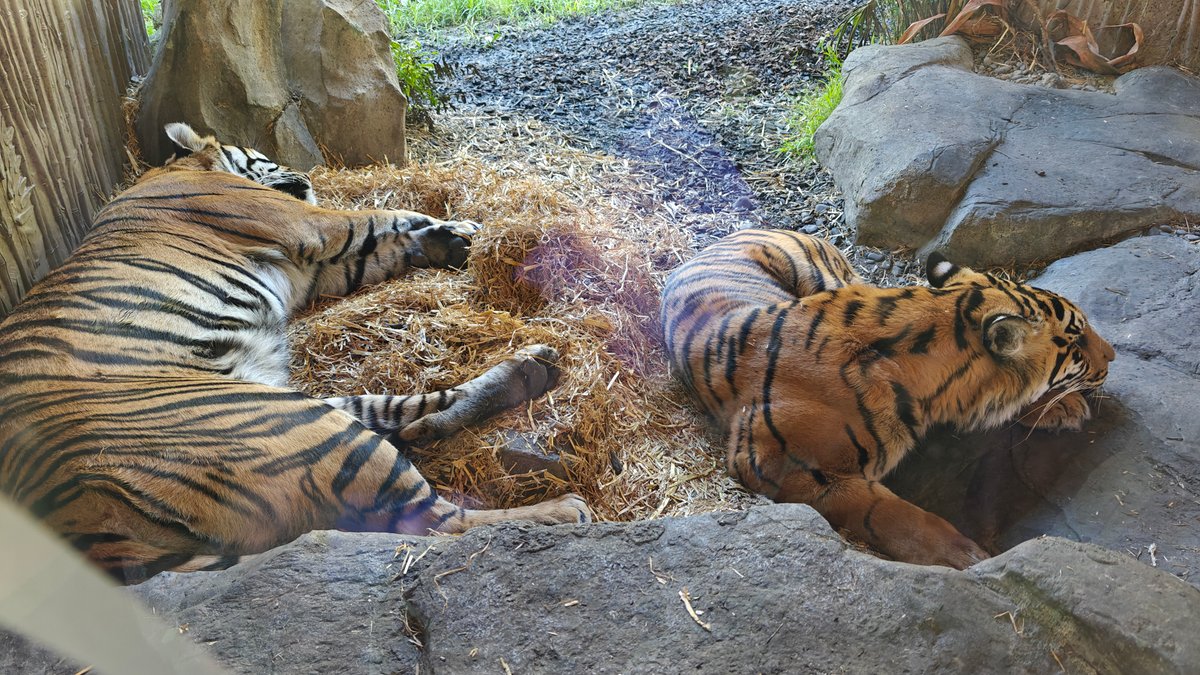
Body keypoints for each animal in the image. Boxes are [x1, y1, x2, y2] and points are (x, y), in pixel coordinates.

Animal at [0, 122, 591, 584]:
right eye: (263, 153)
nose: (304, 173)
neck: (181, 168)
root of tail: (71, 528)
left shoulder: (317, 270)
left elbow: (388, 244)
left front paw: (450, 239)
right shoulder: (307, 224)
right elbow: (382, 215)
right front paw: (458, 228)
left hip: (296, 408)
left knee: (409, 417)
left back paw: (532, 370)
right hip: (291, 423)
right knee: (438, 520)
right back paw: (564, 511)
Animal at [660, 229, 1114, 569]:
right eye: (1077, 339)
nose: (1112, 355)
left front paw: (1061, 405)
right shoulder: (774, 463)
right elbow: (886, 511)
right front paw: (964, 555)